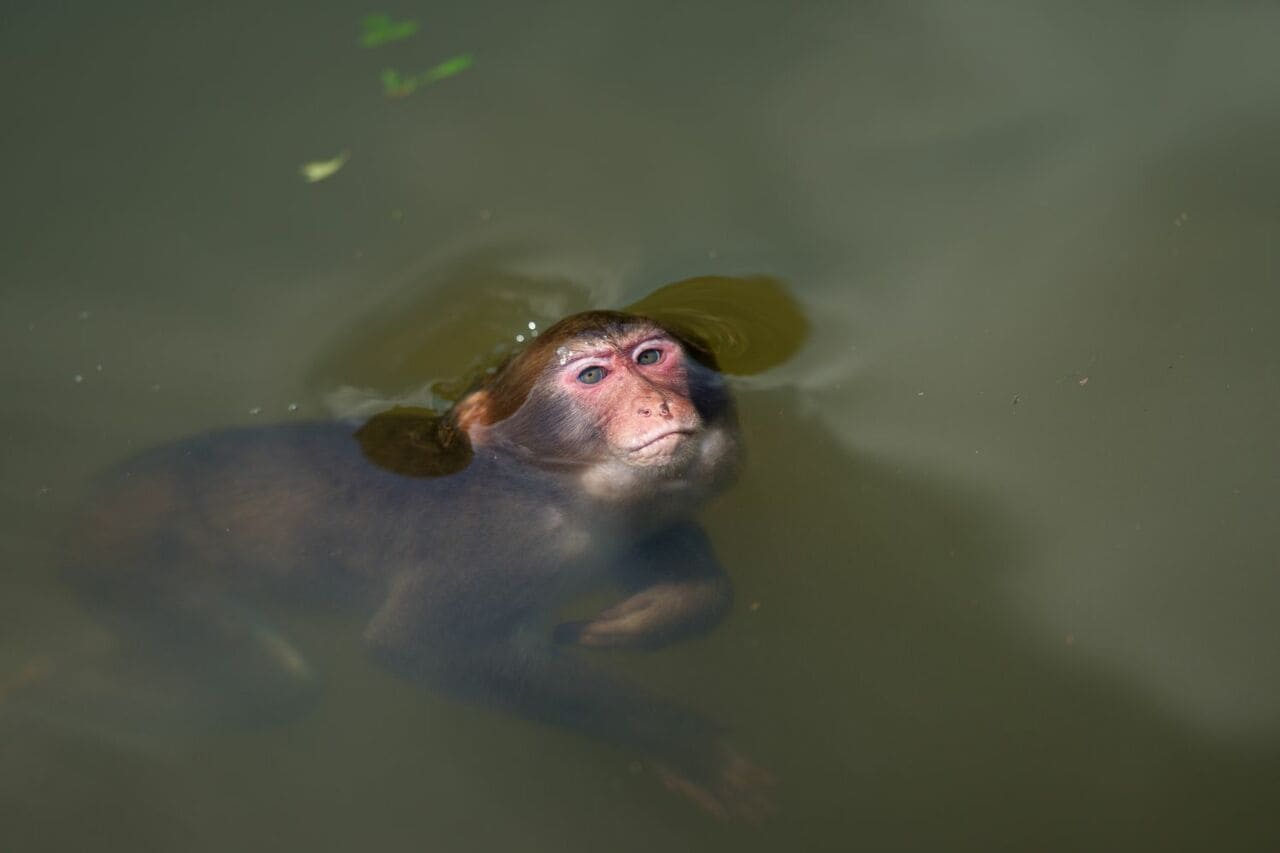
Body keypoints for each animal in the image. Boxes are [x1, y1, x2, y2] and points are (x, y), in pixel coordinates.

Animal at [64, 307, 768, 819]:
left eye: (650, 357)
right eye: (593, 377)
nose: (658, 402)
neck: (546, 480)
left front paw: (666, 612)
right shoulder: (498, 542)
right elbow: (419, 647)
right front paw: (686, 743)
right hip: (127, 557)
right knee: (279, 684)